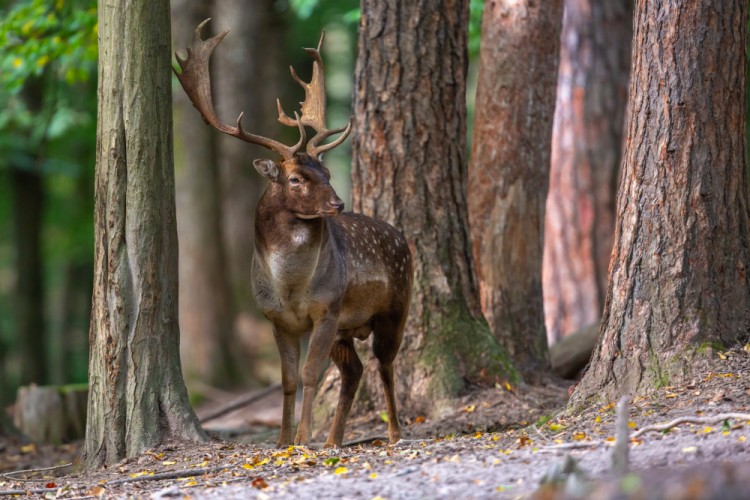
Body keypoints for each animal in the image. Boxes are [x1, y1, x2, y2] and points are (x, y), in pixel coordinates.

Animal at [174, 20, 414, 450]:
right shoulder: (276, 319)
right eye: (296, 179)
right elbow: (287, 381)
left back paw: (393, 432)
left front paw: (303, 438)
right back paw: (335, 440)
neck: (291, 286)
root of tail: (403, 237)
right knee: (354, 371)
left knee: (384, 363)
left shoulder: (327, 308)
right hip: (347, 329)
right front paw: (283, 440)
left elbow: (308, 375)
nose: (337, 203)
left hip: (394, 307)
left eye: (328, 173)